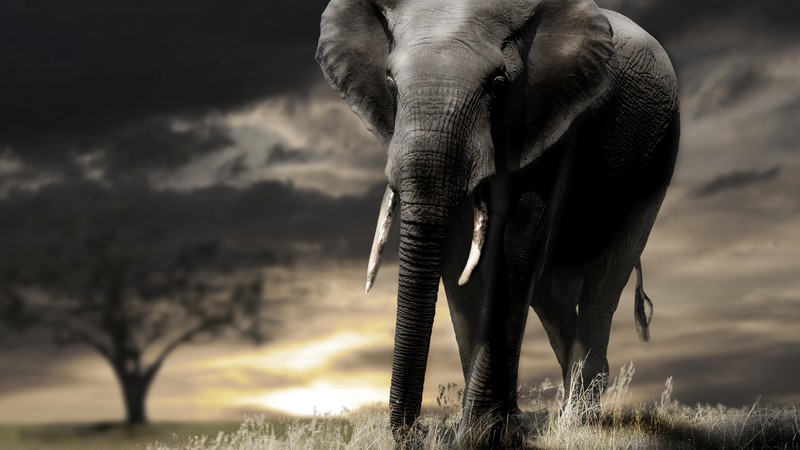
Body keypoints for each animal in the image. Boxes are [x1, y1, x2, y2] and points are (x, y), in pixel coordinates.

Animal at [316, 0, 679, 446]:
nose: (421, 432)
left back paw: (576, 423)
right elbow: (458, 260)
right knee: (550, 294)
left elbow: (516, 242)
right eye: (390, 82)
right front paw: (498, 433)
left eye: (498, 84)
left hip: (655, 161)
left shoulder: (545, 113)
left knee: (606, 280)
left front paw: (478, 438)